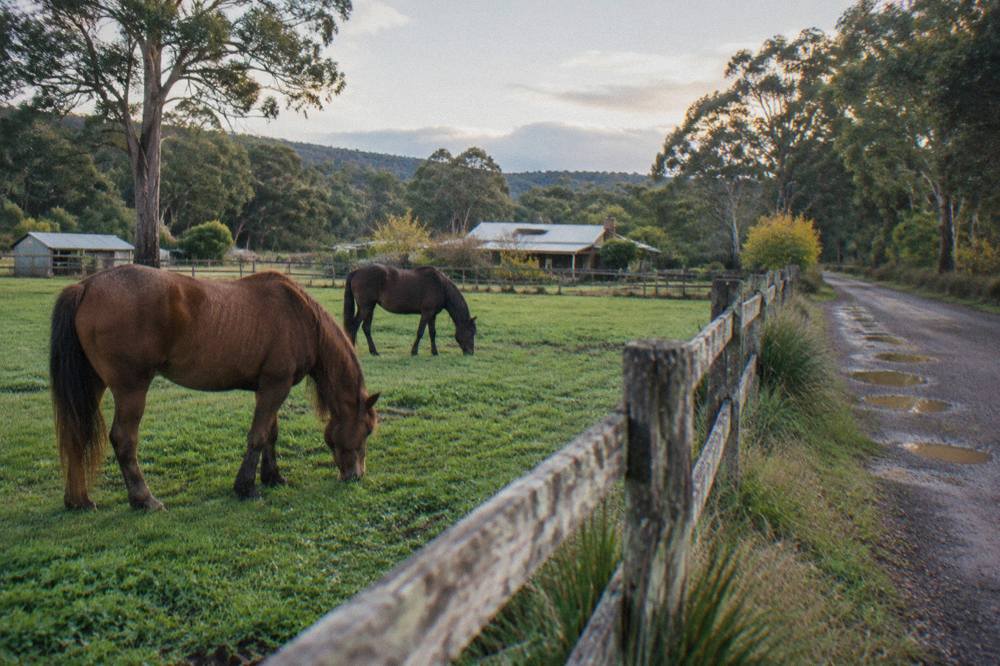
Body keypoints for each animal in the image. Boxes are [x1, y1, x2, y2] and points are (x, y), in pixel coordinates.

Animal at [49, 265, 379, 511]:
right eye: (367, 430)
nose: (356, 476)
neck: (300, 317)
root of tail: (86, 286)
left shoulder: (269, 387)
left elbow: (270, 434)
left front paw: (273, 477)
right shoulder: (275, 386)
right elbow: (258, 436)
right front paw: (246, 487)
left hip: (93, 384)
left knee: (76, 435)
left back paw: (78, 500)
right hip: (131, 389)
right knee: (123, 440)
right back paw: (144, 499)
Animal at [343, 264, 477, 356]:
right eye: (471, 332)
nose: (470, 352)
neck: (441, 286)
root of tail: (357, 271)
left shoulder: (432, 315)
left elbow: (432, 333)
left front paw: (435, 352)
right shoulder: (426, 313)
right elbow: (420, 332)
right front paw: (414, 352)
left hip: (370, 307)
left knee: (366, 328)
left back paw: (374, 352)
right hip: (365, 307)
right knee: (354, 326)